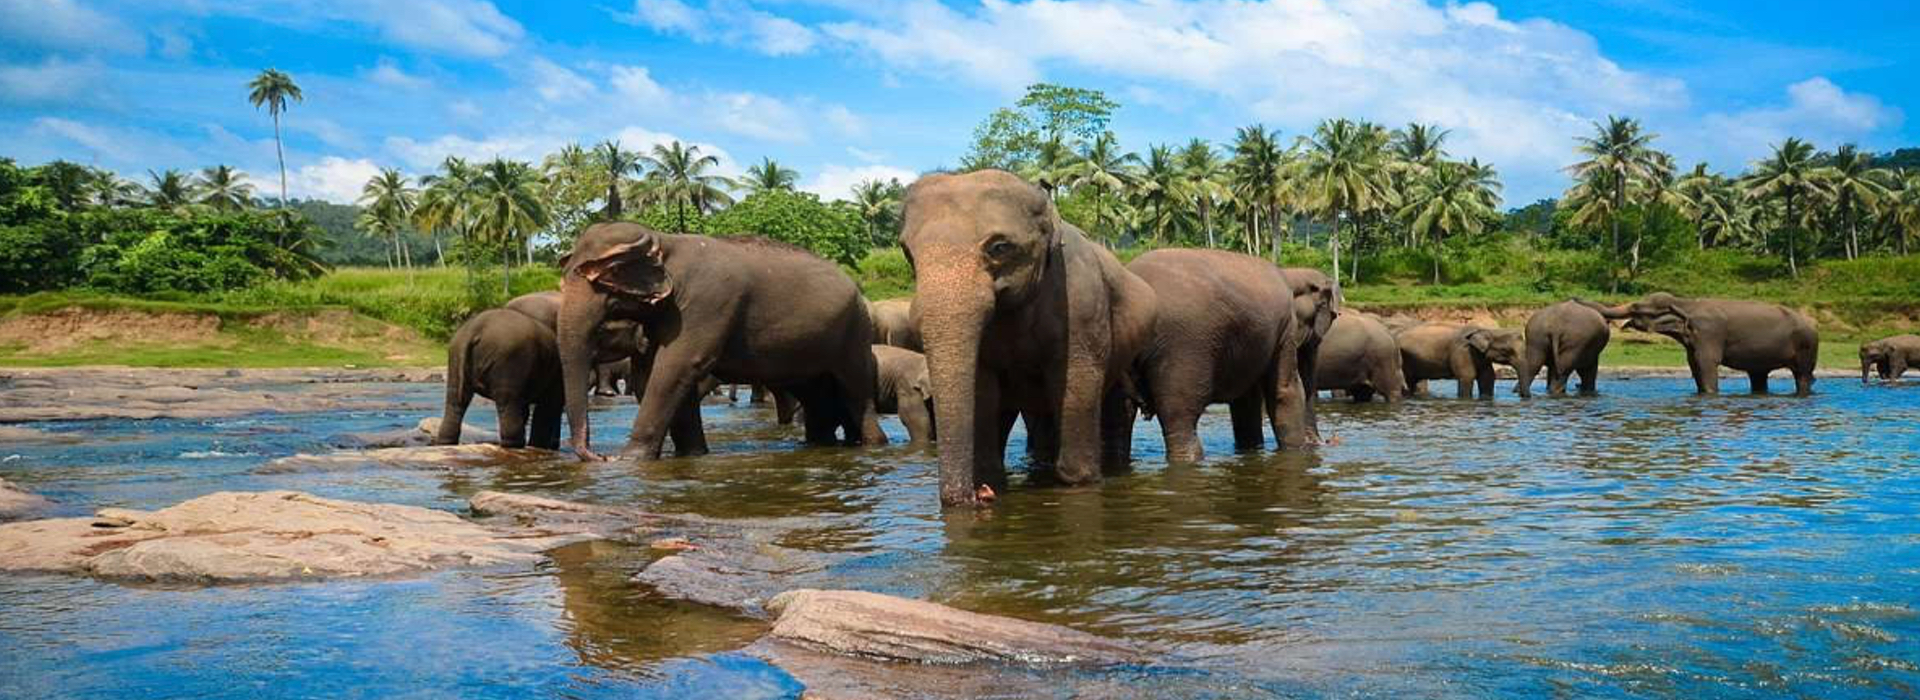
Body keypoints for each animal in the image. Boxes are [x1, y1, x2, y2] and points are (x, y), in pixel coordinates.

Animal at [557, 222, 886, 461]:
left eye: (606, 277)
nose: (598, 456)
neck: (665, 241)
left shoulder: (707, 302)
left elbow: (676, 366)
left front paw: (630, 459)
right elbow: (652, 374)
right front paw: (692, 454)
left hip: (855, 334)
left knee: (855, 391)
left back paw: (873, 444)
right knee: (816, 396)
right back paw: (821, 445)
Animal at [901, 170, 1157, 507]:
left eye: (999, 247)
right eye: (907, 252)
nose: (979, 496)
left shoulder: (1082, 304)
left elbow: (1077, 381)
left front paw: (1079, 482)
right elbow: (983, 390)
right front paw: (991, 480)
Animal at [1394, 322, 1525, 398]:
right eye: (1507, 350)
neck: (1486, 329)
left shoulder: (1481, 356)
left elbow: (1487, 378)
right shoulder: (1462, 351)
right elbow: (1467, 377)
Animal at [1580, 293, 1818, 395]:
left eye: (1639, 309)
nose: (1575, 298)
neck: (1686, 303)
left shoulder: (1709, 334)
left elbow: (1707, 364)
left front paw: (1711, 395)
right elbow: (1694, 365)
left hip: (1807, 346)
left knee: (1803, 376)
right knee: (1758, 376)